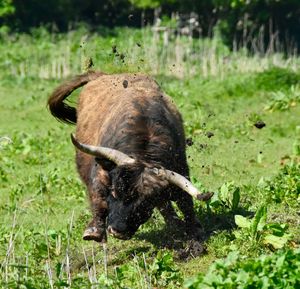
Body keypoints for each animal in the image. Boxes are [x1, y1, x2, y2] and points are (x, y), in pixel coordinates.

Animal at [47, 70, 211, 241]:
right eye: (114, 192)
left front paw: (194, 230)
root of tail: (101, 75)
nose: (116, 231)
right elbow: (98, 196)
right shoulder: (102, 172)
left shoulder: (180, 168)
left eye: (145, 203)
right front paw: (94, 231)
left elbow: (185, 202)